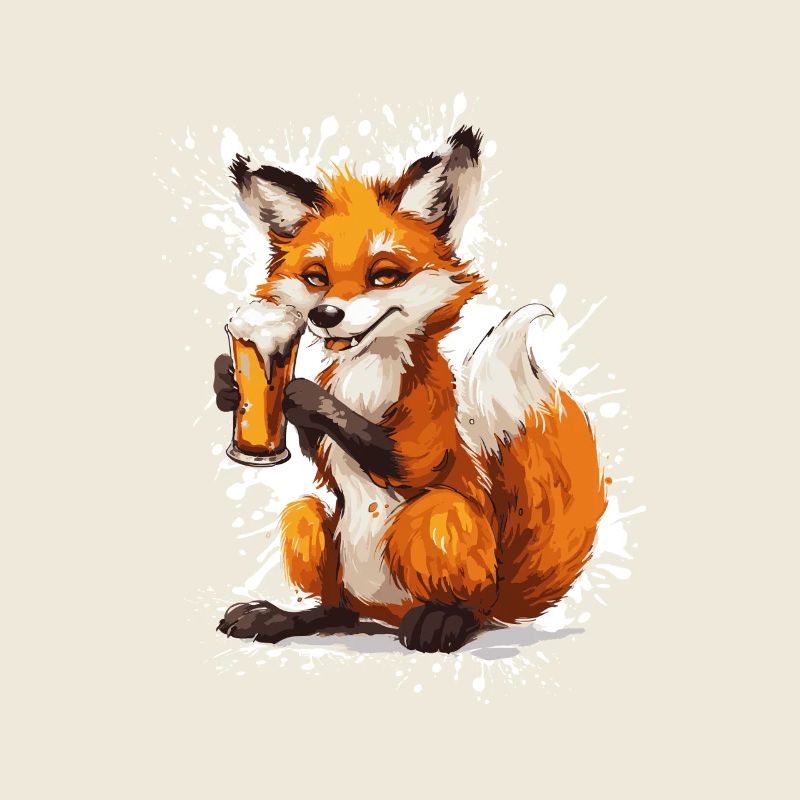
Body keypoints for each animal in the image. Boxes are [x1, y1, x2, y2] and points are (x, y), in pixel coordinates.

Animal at [213, 126, 607, 653]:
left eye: (384, 276)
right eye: (316, 277)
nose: (324, 314)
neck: (365, 376)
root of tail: (383, 614)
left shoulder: (424, 431)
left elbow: (397, 453)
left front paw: (301, 395)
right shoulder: (322, 464)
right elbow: (315, 450)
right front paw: (229, 385)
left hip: (440, 523)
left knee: (463, 601)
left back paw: (440, 621)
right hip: (312, 524)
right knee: (335, 604)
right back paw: (287, 618)